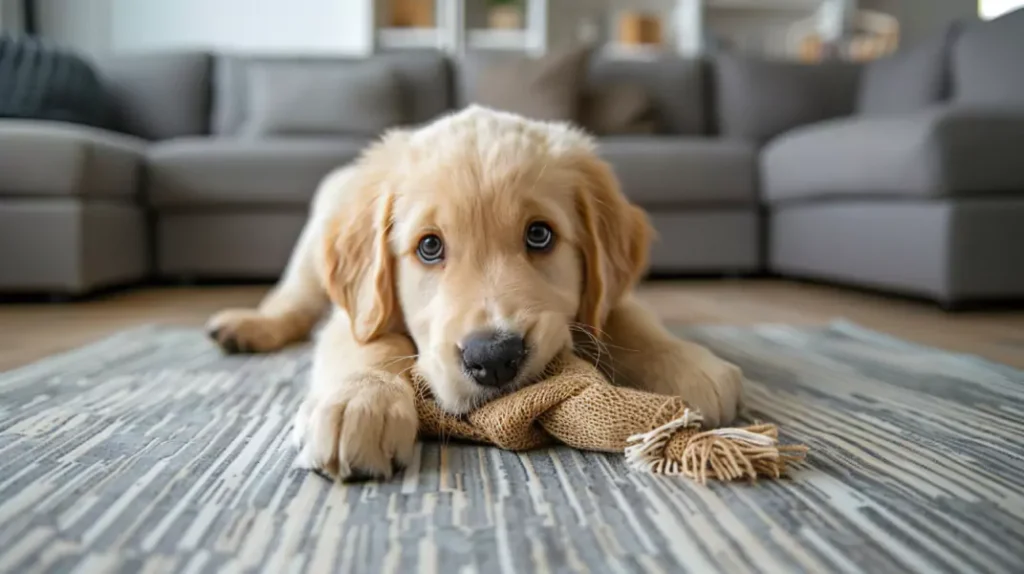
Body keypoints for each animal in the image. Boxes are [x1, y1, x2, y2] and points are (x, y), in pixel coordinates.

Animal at [205, 106, 745, 478]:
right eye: (429, 246)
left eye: (539, 235)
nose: (496, 357)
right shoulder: (358, 309)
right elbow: (369, 343)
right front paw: (360, 402)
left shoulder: (608, 294)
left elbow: (626, 317)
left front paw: (688, 364)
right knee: (292, 301)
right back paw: (246, 326)